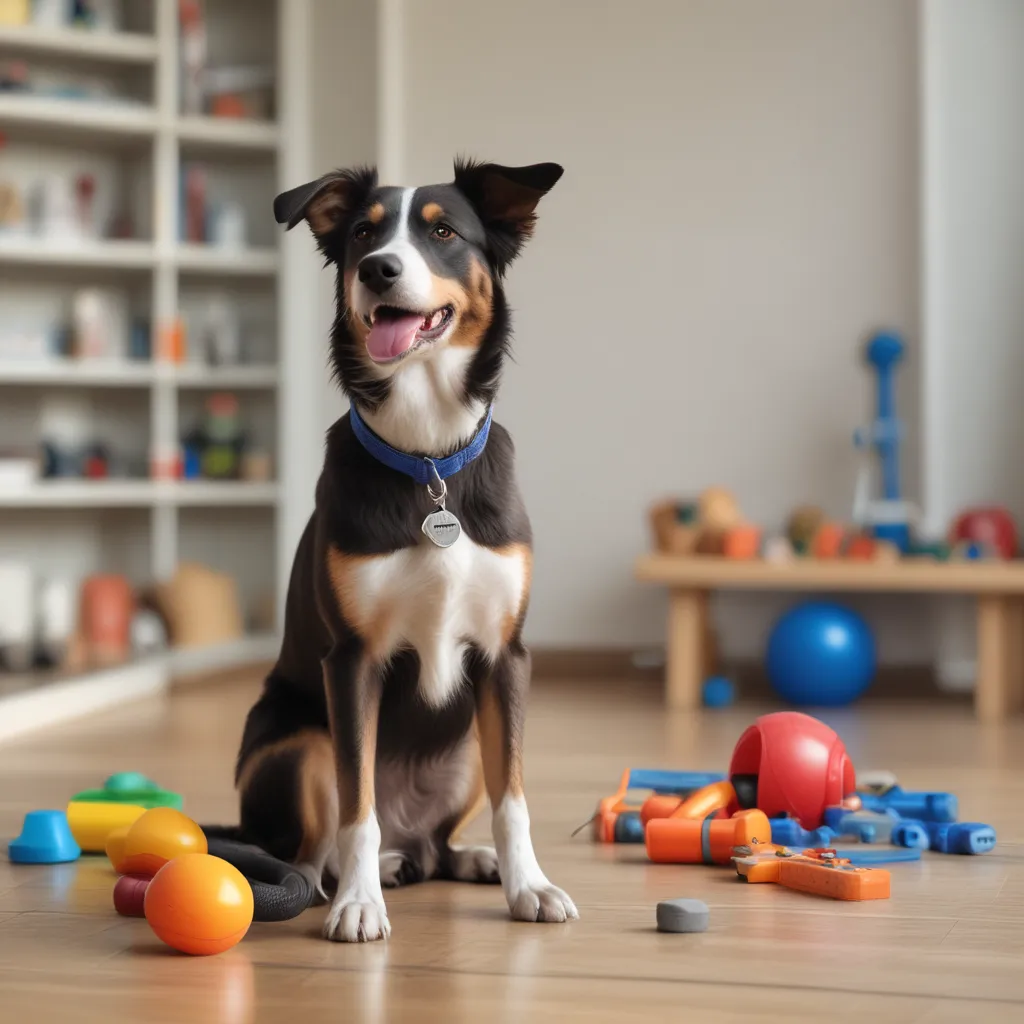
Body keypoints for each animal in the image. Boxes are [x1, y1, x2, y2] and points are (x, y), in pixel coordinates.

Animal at [234, 159, 581, 942]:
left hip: (468, 745)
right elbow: (356, 806)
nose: (379, 270)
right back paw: (347, 881)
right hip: (302, 741)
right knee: (317, 849)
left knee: (435, 841)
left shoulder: (505, 658)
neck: (428, 461)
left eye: (444, 232)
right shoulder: (351, 661)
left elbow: (515, 801)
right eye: (363, 234)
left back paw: (461, 858)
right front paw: (361, 903)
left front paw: (528, 885)